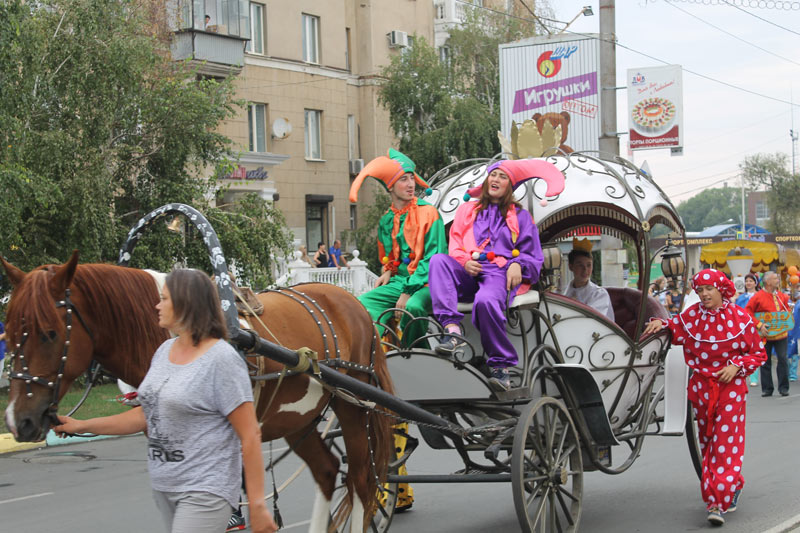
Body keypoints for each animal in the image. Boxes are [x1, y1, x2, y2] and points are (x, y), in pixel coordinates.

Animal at [1, 250, 396, 532]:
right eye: (9, 332)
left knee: (361, 480)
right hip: (297, 418)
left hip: (354, 406)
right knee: (328, 471)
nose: (19, 420)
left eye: (50, 333)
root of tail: (350, 301)